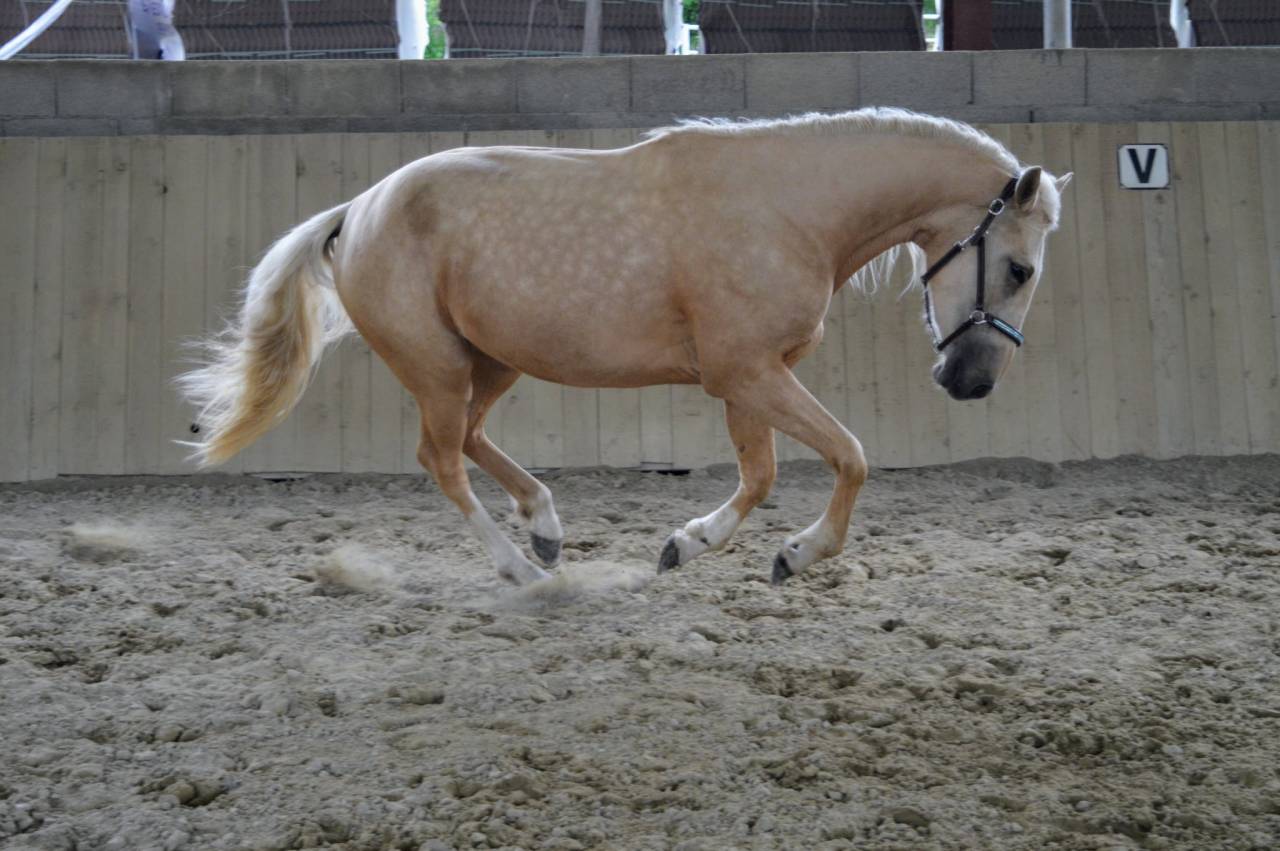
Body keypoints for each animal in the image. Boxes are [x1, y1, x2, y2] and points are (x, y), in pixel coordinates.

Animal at [178, 107, 1071, 587]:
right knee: (441, 456)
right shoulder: (746, 371)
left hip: (490, 360)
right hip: (435, 365)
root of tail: (355, 209)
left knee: (469, 440)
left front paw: (688, 543)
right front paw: (798, 552)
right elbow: (848, 455)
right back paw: (520, 568)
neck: (789, 210)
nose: (972, 381)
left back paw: (544, 524)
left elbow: (760, 474)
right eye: (1020, 267)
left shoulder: (751, 377)